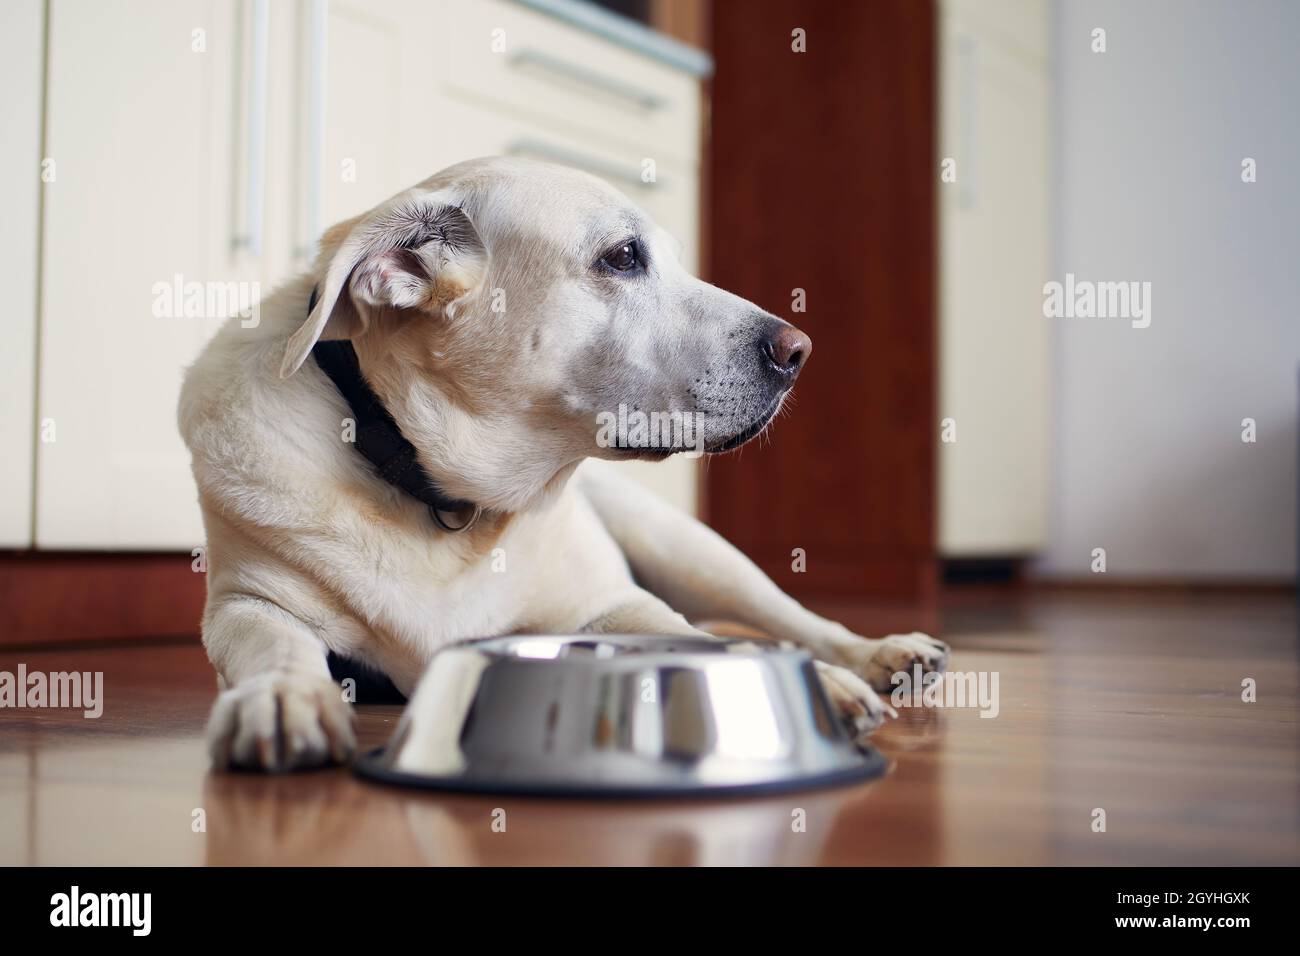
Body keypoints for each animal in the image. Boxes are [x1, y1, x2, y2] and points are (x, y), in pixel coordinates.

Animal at [178, 157, 946, 770]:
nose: (799, 351)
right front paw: (284, 695)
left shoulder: (614, 603)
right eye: (623, 256)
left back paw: (878, 653)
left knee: (788, 614)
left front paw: (822, 685)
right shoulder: (248, 604)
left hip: (689, 550)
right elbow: (273, 645)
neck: (445, 495)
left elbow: (687, 636)